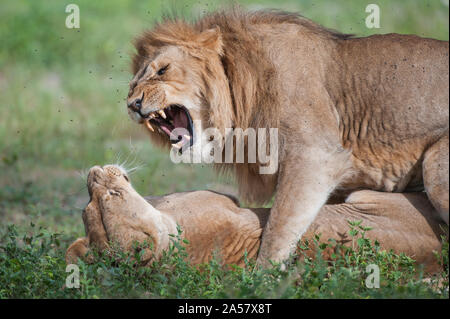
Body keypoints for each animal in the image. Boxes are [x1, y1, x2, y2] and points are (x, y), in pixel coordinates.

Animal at [125, 8, 448, 266]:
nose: (133, 105)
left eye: (162, 70)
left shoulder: (316, 156)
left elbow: (278, 228)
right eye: (132, 86)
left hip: (435, 166)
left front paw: (259, 282)